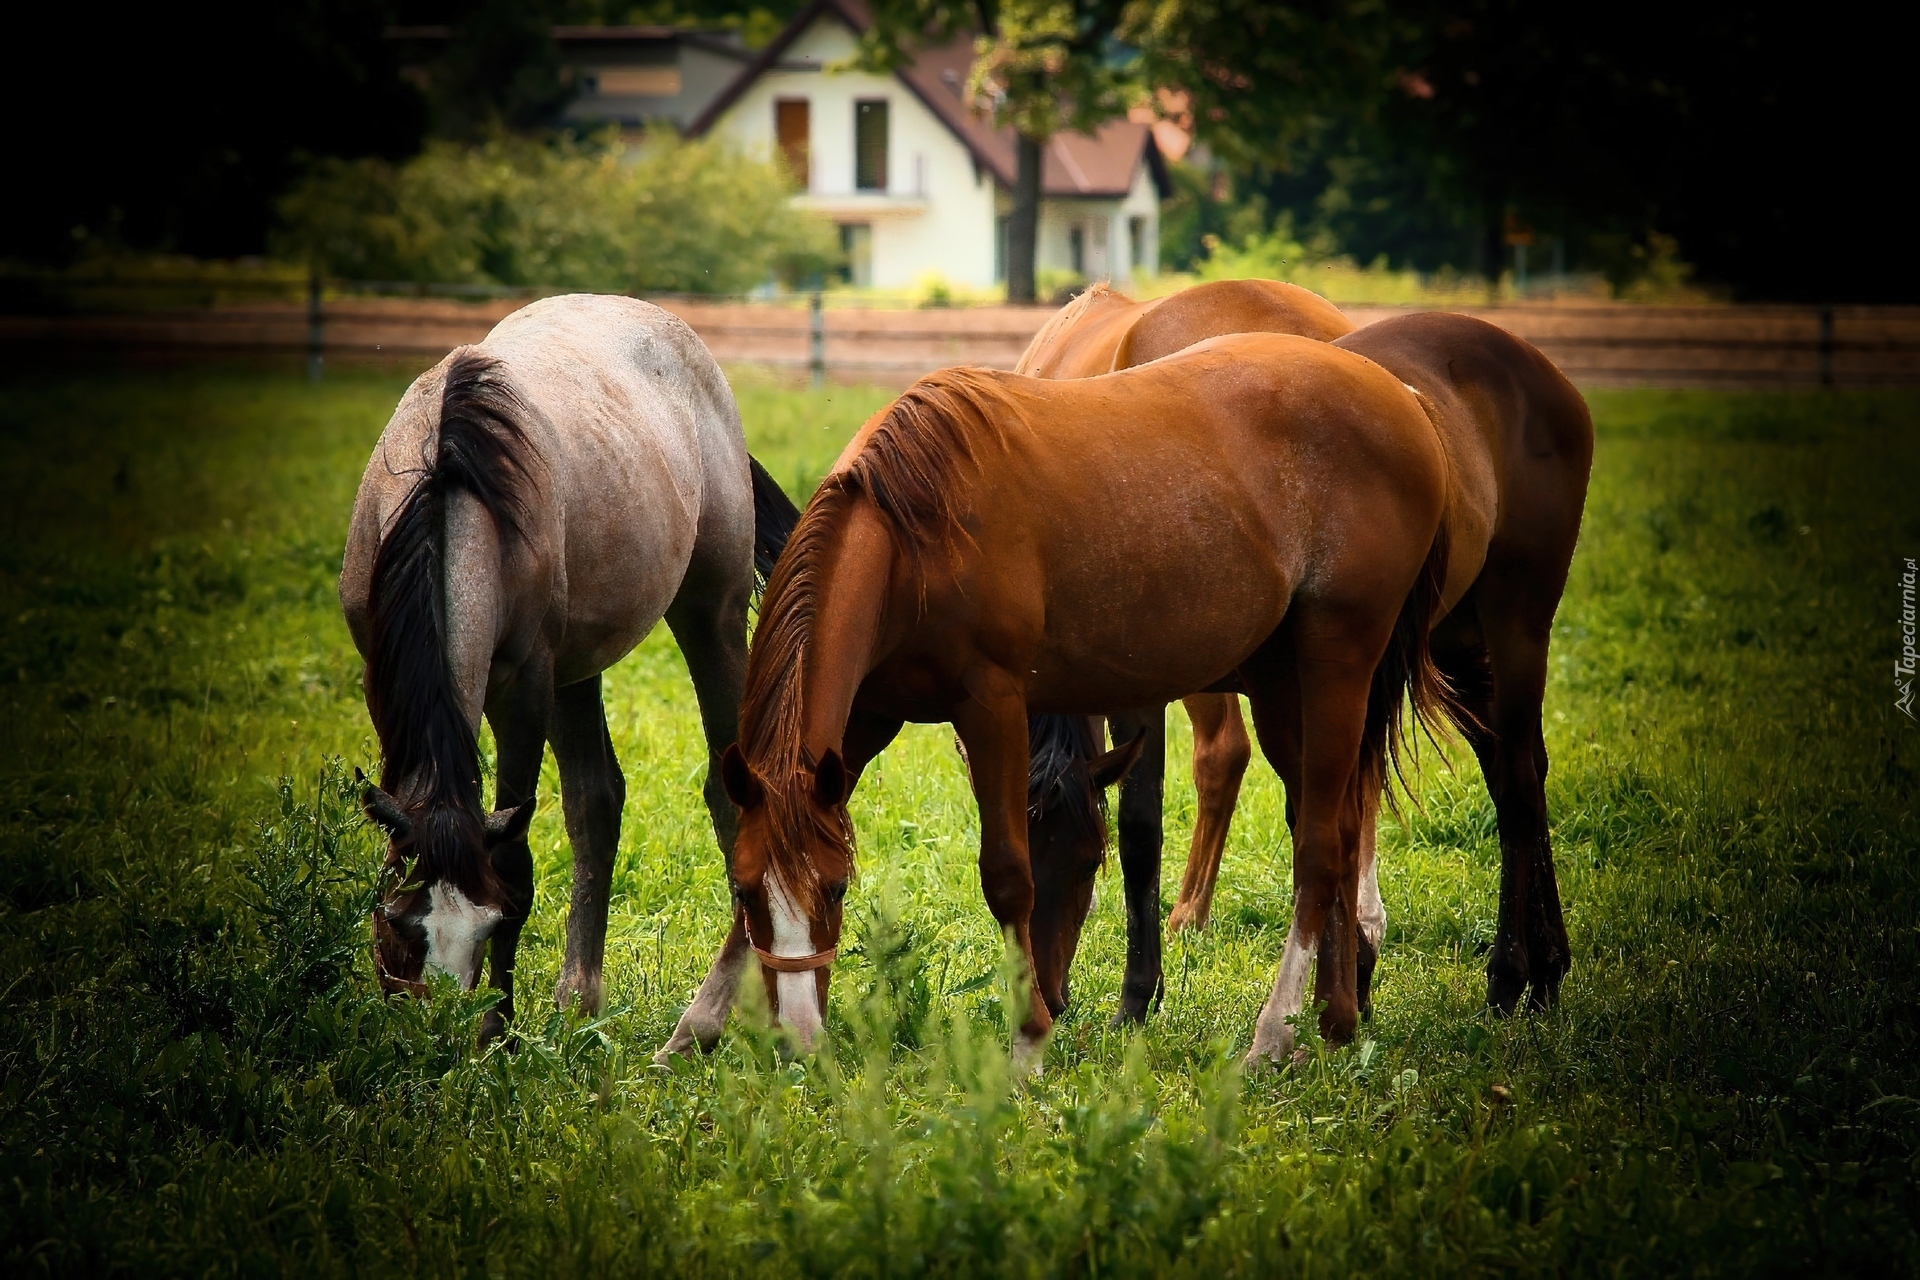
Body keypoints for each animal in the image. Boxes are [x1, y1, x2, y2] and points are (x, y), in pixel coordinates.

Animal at [337, 293, 794, 1043]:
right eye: (402, 926)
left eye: (487, 924)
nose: (442, 1036)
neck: (450, 488)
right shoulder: (386, 682)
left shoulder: (523, 690)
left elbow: (514, 865)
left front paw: (496, 1032)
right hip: (579, 670)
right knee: (595, 801)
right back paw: (580, 998)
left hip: (711, 616)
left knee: (731, 798)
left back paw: (714, 1018)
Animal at [706, 333, 1451, 1074]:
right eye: (746, 890)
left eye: (836, 888)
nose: (798, 1038)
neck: (914, 536)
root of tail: (1403, 398)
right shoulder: (863, 720)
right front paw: (699, 1023)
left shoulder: (992, 703)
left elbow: (1006, 874)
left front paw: (1027, 1043)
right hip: (1281, 687)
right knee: (1339, 826)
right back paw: (1337, 1017)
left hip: (1337, 665)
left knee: (1320, 846)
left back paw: (1274, 1033)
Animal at [1029, 303, 1597, 1028]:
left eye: (1083, 863)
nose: (1048, 997)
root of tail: (1542, 372)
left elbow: (1149, 827)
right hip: (1459, 649)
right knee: (1511, 771)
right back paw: (1547, 965)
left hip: (1515, 627)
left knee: (1520, 784)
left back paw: (1511, 973)